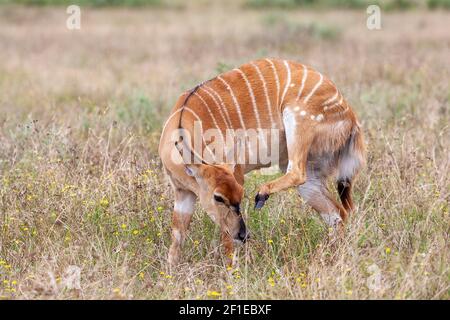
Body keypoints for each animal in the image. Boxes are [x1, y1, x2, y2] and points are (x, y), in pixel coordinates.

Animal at [159, 58, 366, 268]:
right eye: (218, 197)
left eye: (240, 194)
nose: (243, 235)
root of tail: (351, 117)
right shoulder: (182, 192)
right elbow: (177, 237)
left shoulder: (236, 173)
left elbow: (225, 236)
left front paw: (231, 269)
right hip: (311, 180)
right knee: (338, 212)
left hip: (297, 120)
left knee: (298, 173)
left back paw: (262, 195)